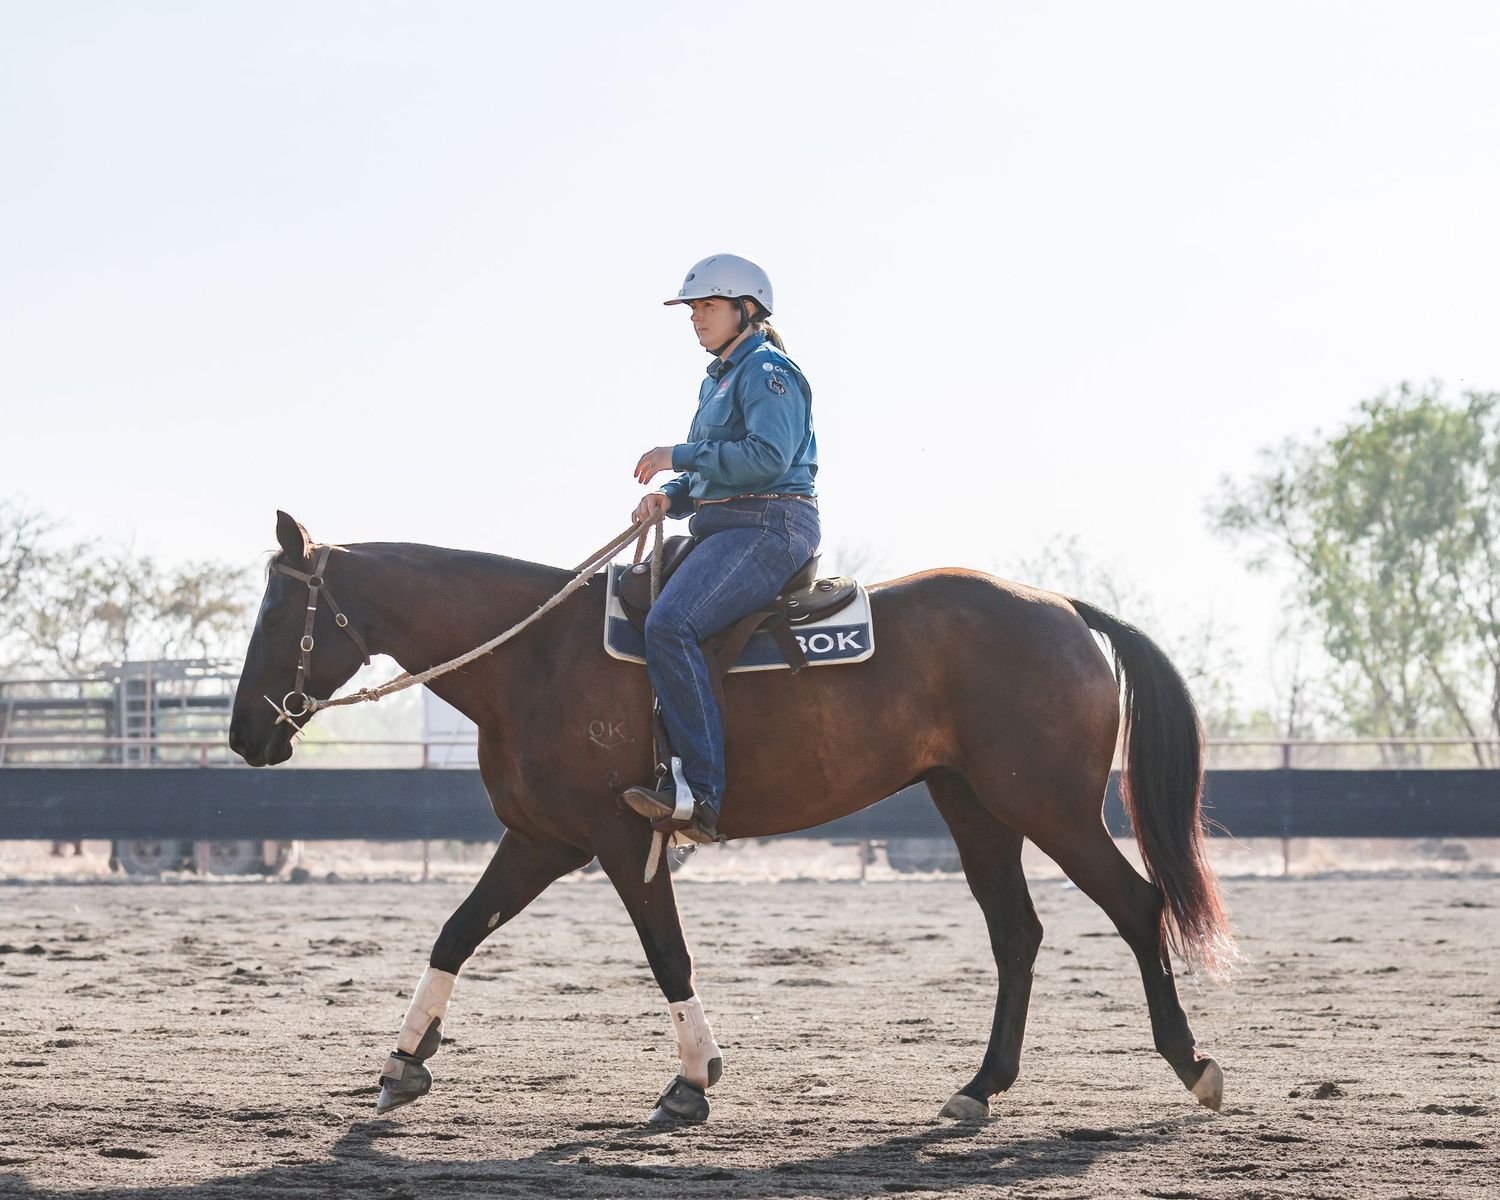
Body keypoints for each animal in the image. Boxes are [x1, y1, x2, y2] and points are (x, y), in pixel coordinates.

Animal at [228, 510, 1233, 1125]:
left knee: (1137, 907)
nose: (243, 735)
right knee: (1017, 934)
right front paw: (403, 1059)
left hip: (1050, 807)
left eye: (277, 613)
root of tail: (1063, 610)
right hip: (976, 807)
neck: (535, 658)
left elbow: (667, 954)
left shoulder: (619, 840)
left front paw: (692, 1081)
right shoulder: (541, 840)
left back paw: (1193, 1065)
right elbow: (456, 931)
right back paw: (981, 1088)